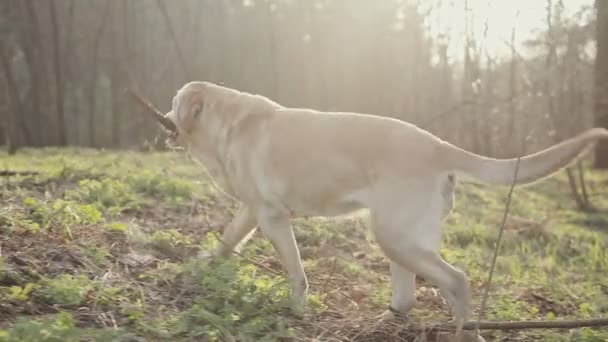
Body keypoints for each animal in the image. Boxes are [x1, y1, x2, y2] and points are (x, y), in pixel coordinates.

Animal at [162, 80, 608, 332]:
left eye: (174, 100)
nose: (163, 118)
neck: (230, 122)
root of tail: (439, 145)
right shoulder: (252, 210)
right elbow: (227, 239)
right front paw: (202, 266)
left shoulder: (272, 216)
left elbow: (296, 273)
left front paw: (297, 311)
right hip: (397, 239)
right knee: (411, 295)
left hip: (395, 236)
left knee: (457, 280)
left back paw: (466, 329)